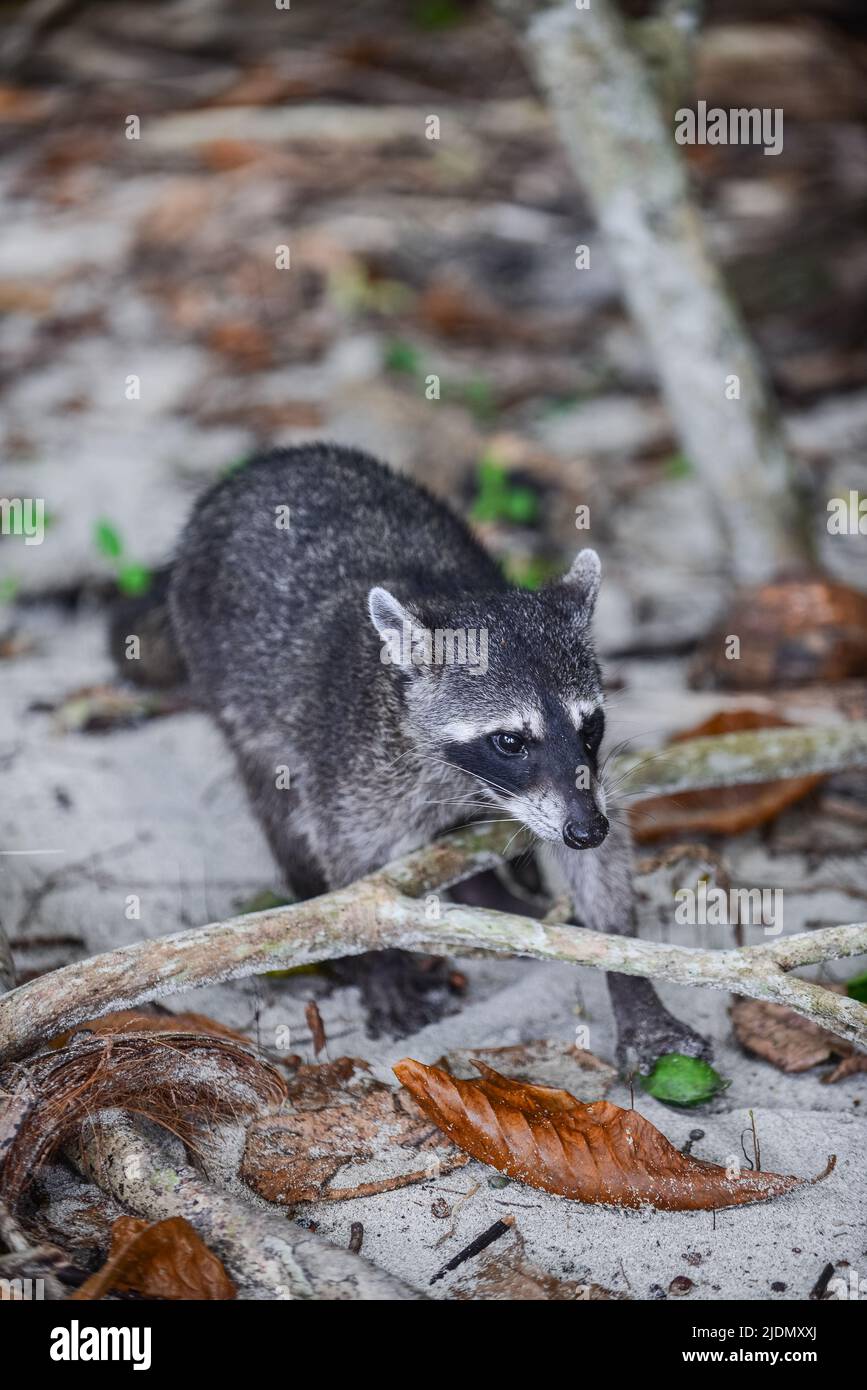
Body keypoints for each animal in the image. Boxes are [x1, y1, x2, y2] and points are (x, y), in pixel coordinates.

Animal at [127, 444, 711, 1061]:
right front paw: (378, 961)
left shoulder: (580, 783)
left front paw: (631, 980)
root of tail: (259, 466)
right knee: (276, 800)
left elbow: (600, 861)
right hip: (225, 679)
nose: (586, 829)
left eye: (590, 726)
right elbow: (353, 874)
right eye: (510, 740)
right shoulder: (355, 767)